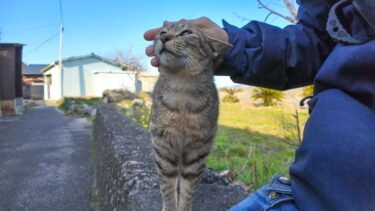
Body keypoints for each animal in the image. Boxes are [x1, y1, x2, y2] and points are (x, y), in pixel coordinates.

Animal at [151, 23, 232, 211]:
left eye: (186, 32)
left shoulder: (198, 150)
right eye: (162, 32)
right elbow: (167, 186)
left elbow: (189, 189)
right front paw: (169, 207)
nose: (164, 38)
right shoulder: (163, 146)